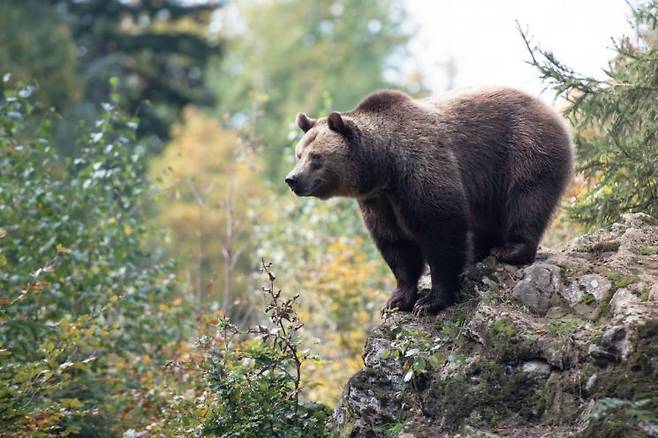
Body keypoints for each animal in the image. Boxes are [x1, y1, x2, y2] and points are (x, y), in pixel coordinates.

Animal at [284, 88, 572, 314]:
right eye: (299, 154)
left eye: (317, 157)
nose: (292, 179)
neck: (384, 167)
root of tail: (549, 108)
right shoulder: (379, 202)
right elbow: (396, 245)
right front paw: (397, 300)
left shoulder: (421, 168)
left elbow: (440, 230)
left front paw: (431, 301)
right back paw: (480, 252)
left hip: (524, 149)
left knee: (527, 200)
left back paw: (510, 250)